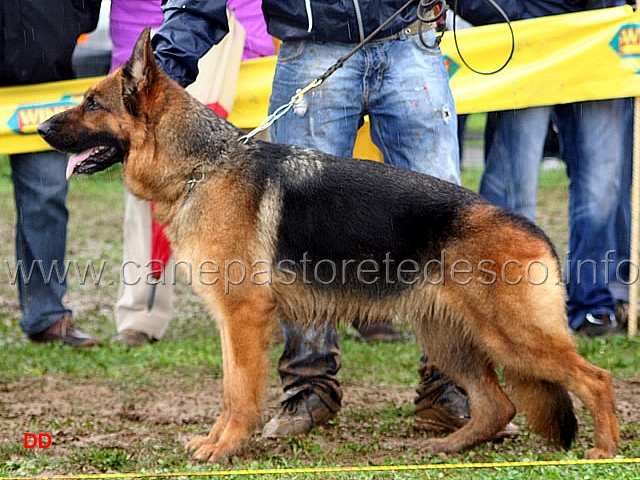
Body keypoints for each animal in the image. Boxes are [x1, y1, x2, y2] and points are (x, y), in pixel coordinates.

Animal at [37, 29, 616, 462]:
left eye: (92, 103)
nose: (38, 126)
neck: (203, 167)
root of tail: (534, 231)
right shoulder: (231, 322)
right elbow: (229, 388)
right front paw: (218, 441)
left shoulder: (243, 317)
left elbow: (239, 392)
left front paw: (226, 448)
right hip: (450, 336)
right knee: (498, 404)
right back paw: (449, 445)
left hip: (512, 336)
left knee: (597, 377)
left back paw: (605, 451)